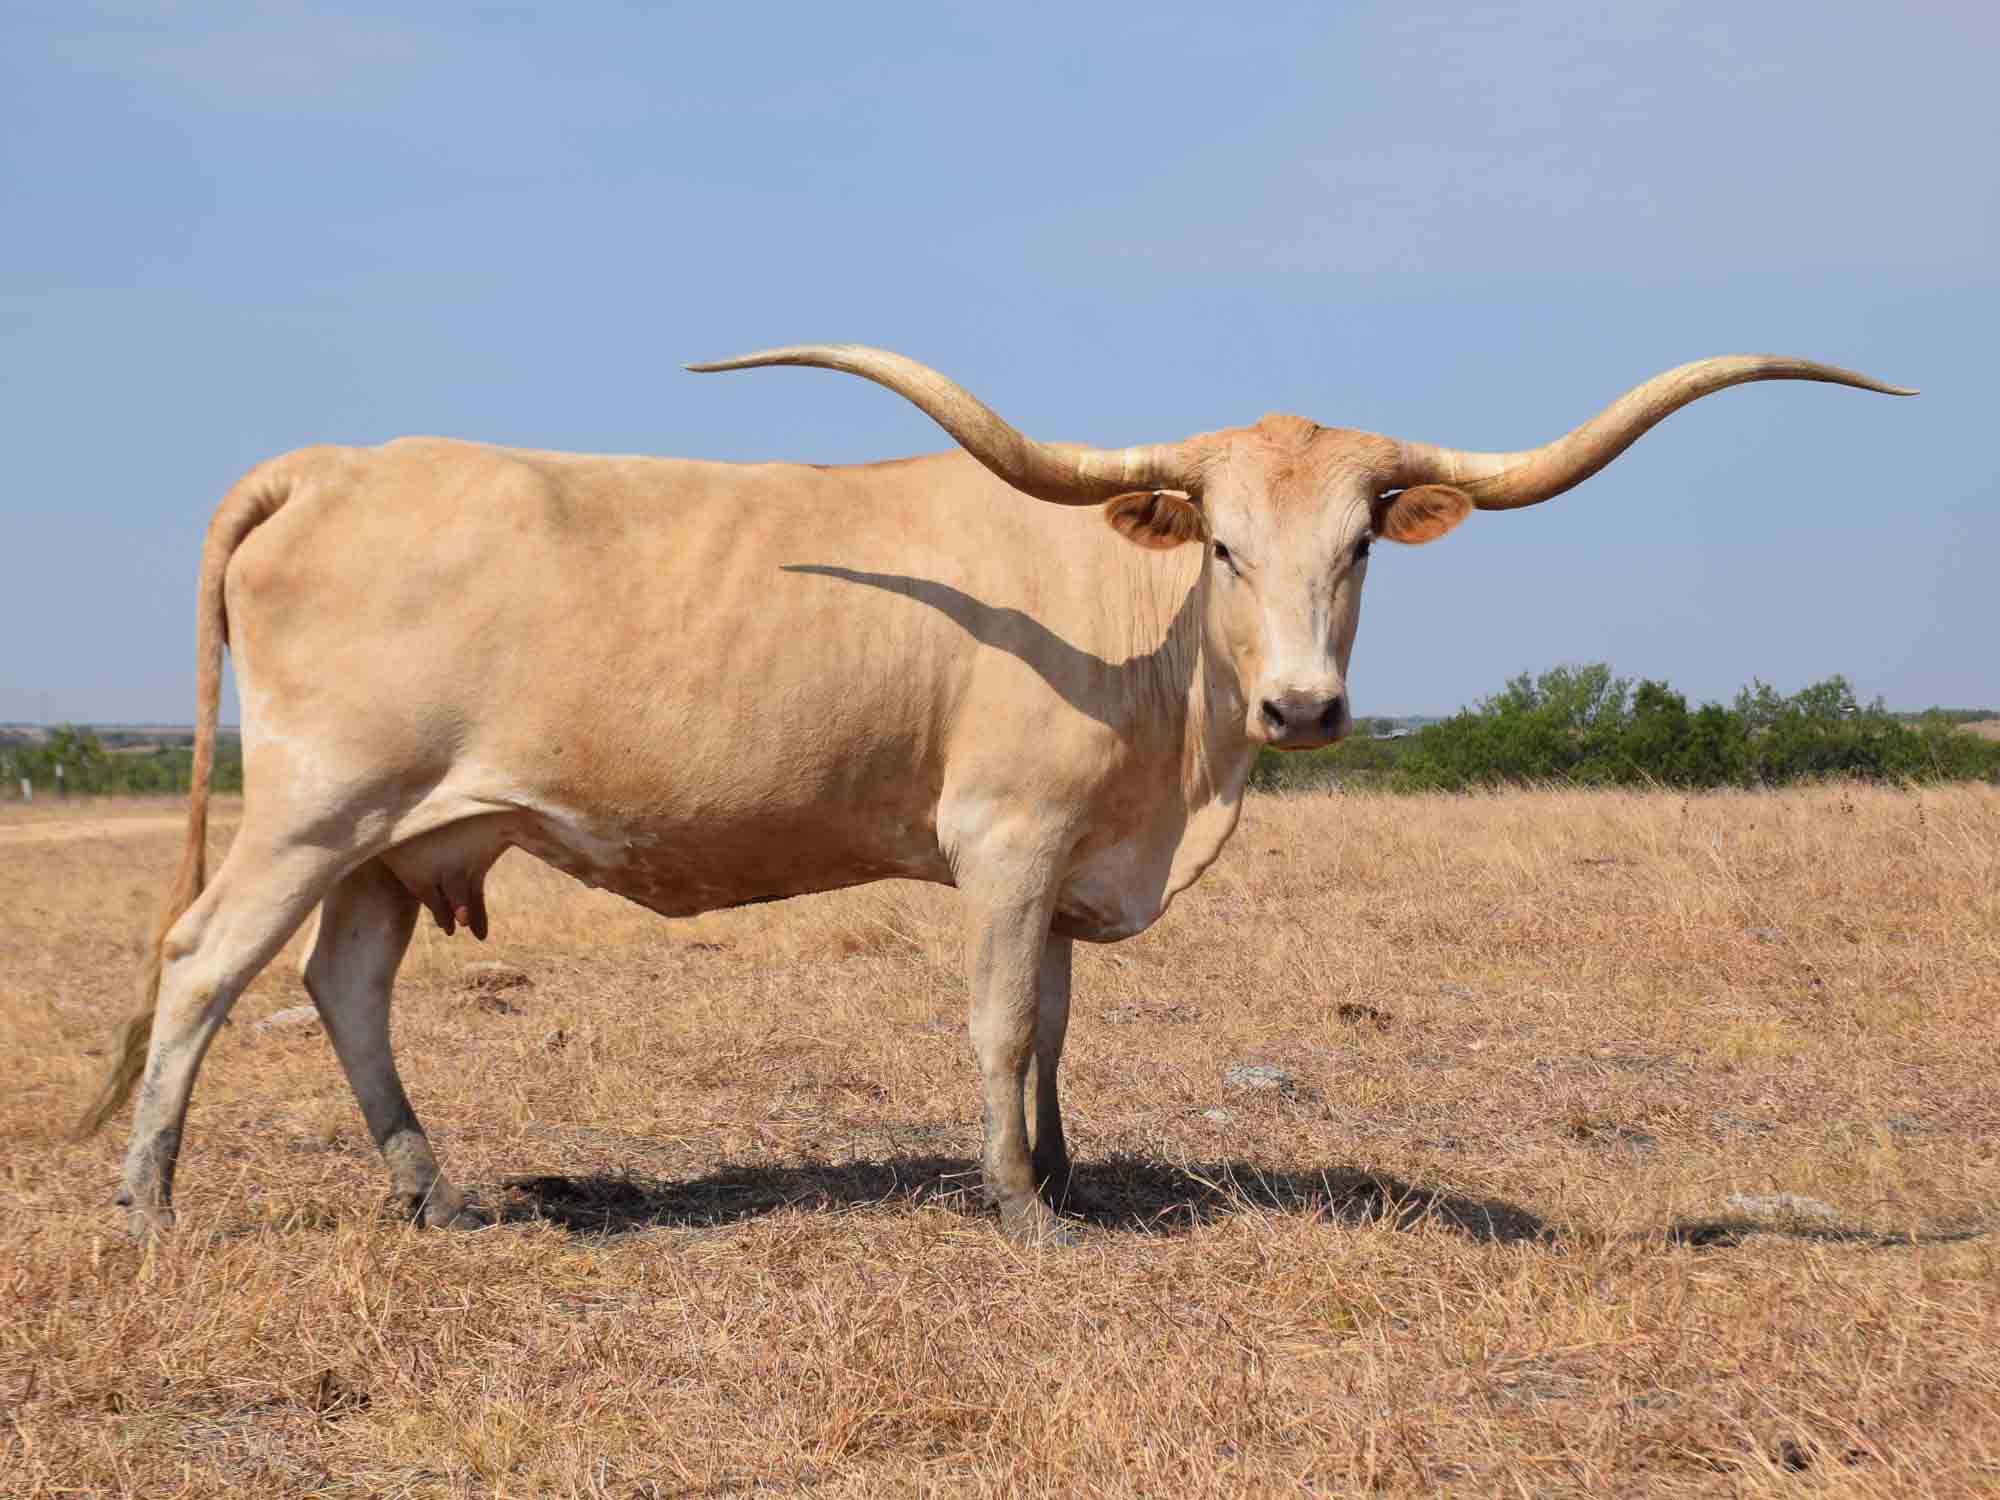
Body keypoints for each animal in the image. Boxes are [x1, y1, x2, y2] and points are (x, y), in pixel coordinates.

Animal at [74, 345, 1911, 1246]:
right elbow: (999, 1020)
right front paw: (1022, 1207)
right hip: (315, 805)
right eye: (1223, 545)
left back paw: (433, 1193)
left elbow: (1060, 1025)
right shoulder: (1006, 842)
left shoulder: (1078, 862)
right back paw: (152, 1206)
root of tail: (337, 461)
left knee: (345, 986)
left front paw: (1069, 1169)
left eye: (1364, 546)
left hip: (402, 838)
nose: (1305, 708)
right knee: (203, 966)